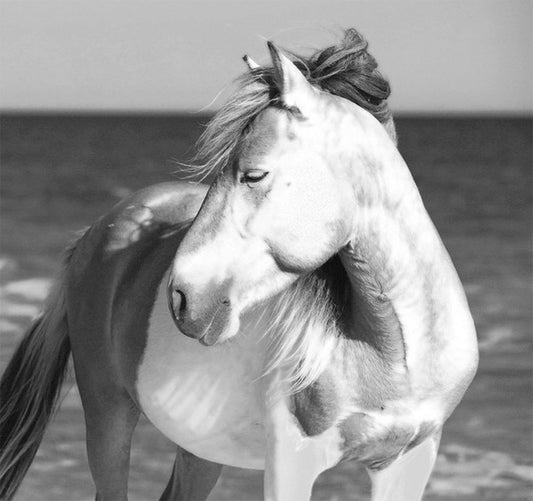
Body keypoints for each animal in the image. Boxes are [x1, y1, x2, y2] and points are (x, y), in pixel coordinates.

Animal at [0, 29, 478, 498]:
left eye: (253, 174)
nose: (182, 298)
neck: (396, 358)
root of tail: (97, 231)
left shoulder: (406, 462)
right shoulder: (291, 460)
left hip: (200, 446)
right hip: (108, 415)